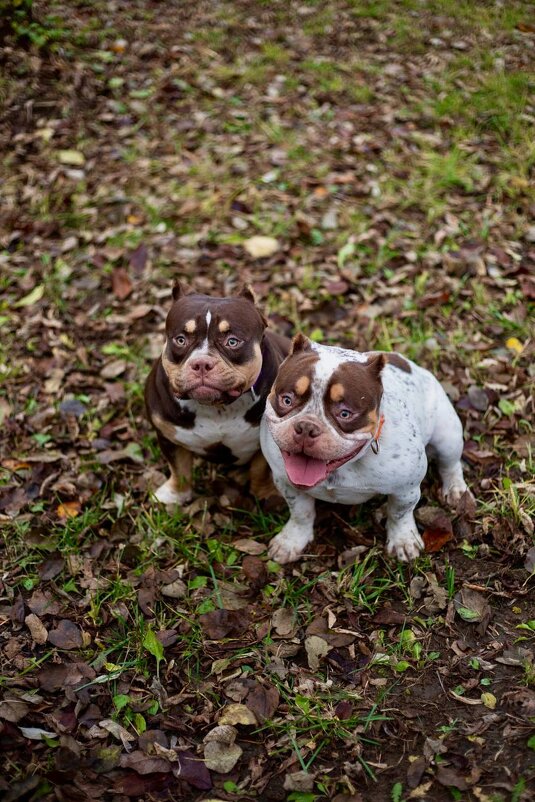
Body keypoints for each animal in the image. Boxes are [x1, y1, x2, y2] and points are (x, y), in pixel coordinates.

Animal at [144, 284, 292, 504]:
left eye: (232, 342)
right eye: (180, 340)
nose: (201, 363)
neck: (218, 408)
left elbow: (261, 470)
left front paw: (266, 494)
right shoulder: (168, 435)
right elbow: (179, 469)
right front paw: (174, 495)